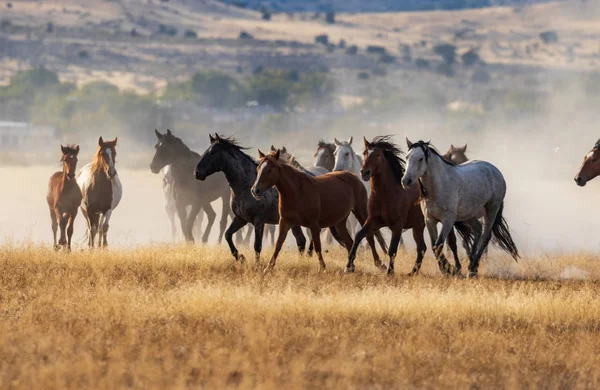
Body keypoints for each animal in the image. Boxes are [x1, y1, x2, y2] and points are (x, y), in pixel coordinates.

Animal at [251, 148, 386, 272]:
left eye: (269, 170)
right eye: (258, 169)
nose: (255, 190)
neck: (297, 191)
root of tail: (354, 177)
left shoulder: (314, 225)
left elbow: (317, 246)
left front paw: (322, 268)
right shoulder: (285, 222)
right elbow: (278, 245)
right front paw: (268, 268)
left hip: (360, 212)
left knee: (369, 236)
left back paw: (379, 264)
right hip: (340, 222)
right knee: (349, 242)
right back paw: (350, 267)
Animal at [344, 136, 466, 276]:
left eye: (378, 154)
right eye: (365, 153)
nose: (364, 172)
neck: (387, 194)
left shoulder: (397, 225)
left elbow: (392, 249)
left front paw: (390, 273)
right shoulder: (374, 220)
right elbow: (358, 236)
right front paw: (348, 266)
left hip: (444, 221)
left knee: (451, 243)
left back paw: (455, 269)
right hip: (419, 225)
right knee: (422, 247)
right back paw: (414, 272)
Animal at [400, 139, 516, 278]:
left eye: (421, 158)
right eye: (407, 157)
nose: (406, 181)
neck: (438, 186)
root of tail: (496, 171)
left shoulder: (448, 220)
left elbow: (439, 245)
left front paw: (449, 270)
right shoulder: (430, 221)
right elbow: (435, 246)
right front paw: (449, 269)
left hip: (491, 209)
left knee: (485, 236)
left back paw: (473, 269)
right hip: (470, 214)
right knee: (477, 230)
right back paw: (471, 265)